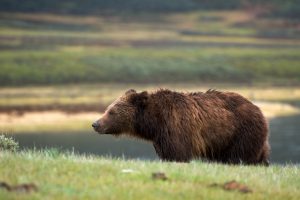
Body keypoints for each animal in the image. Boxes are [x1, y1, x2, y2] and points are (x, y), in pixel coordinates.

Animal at [91, 89, 270, 166]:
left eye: (112, 111)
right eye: (107, 109)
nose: (95, 124)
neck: (153, 121)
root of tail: (259, 109)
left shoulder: (176, 126)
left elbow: (178, 153)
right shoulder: (161, 136)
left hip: (240, 131)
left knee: (239, 155)